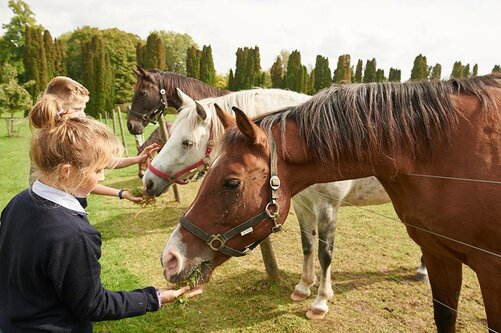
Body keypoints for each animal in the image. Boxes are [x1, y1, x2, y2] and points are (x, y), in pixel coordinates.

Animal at [160, 74, 500, 330]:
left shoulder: (327, 208)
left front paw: (320, 301)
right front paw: (303, 287)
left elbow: (325, 253)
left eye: (231, 182)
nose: (170, 258)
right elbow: (307, 246)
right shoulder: (301, 206)